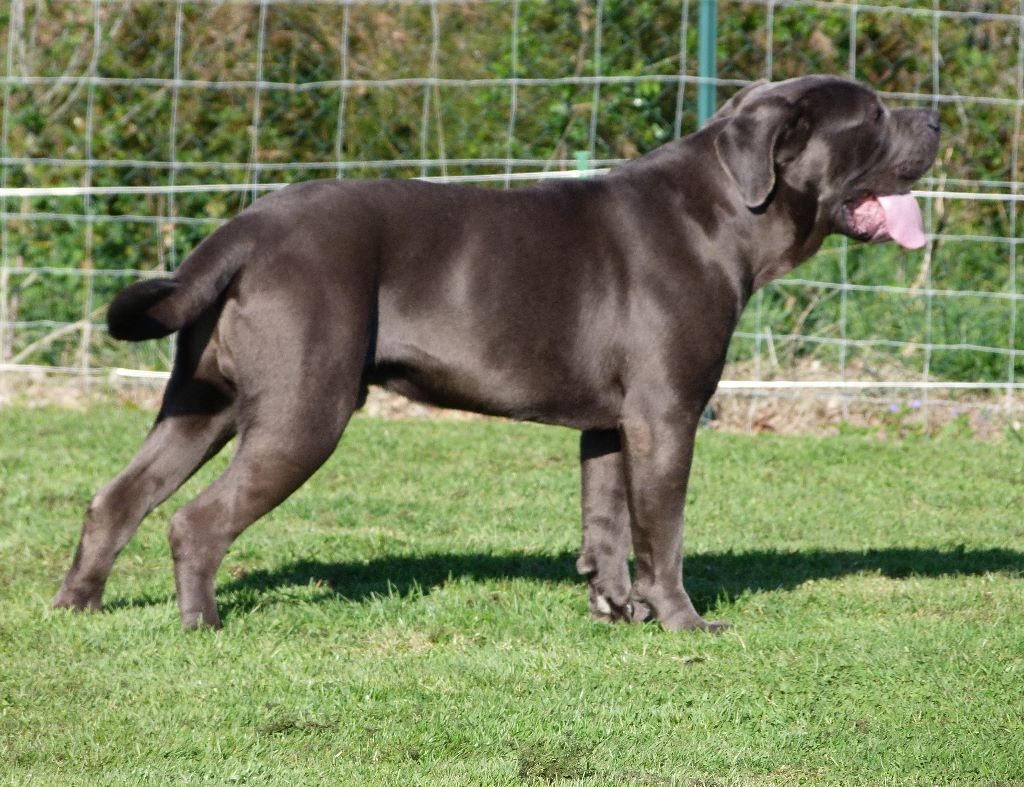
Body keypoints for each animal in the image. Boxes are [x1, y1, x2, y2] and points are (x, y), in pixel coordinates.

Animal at [54, 76, 940, 630]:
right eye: (872, 116)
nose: (934, 120)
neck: (725, 210)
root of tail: (243, 229)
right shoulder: (666, 415)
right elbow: (663, 532)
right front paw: (684, 621)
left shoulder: (612, 423)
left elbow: (606, 524)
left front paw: (618, 611)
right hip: (303, 411)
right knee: (195, 520)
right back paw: (201, 622)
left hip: (201, 403)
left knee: (117, 500)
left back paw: (78, 606)